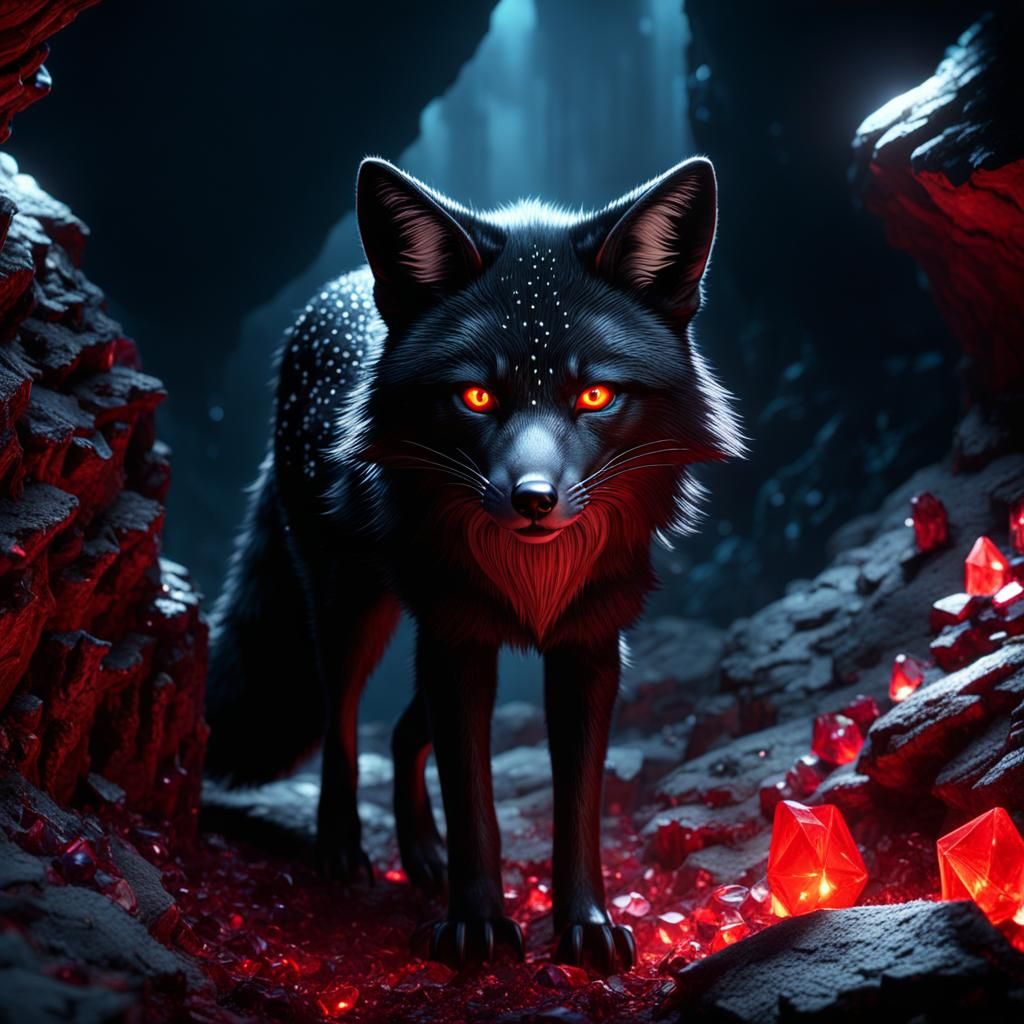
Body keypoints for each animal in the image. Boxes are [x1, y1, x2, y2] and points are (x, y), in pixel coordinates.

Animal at [205, 156, 742, 973]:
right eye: (477, 395)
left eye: (594, 395)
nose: (533, 500)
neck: (534, 583)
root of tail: (340, 284)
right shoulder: (455, 642)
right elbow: (473, 802)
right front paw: (477, 927)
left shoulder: (588, 647)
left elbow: (577, 802)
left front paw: (585, 926)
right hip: (355, 608)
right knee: (342, 718)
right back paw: (342, 852)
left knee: (401, 733)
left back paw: (422, 854)